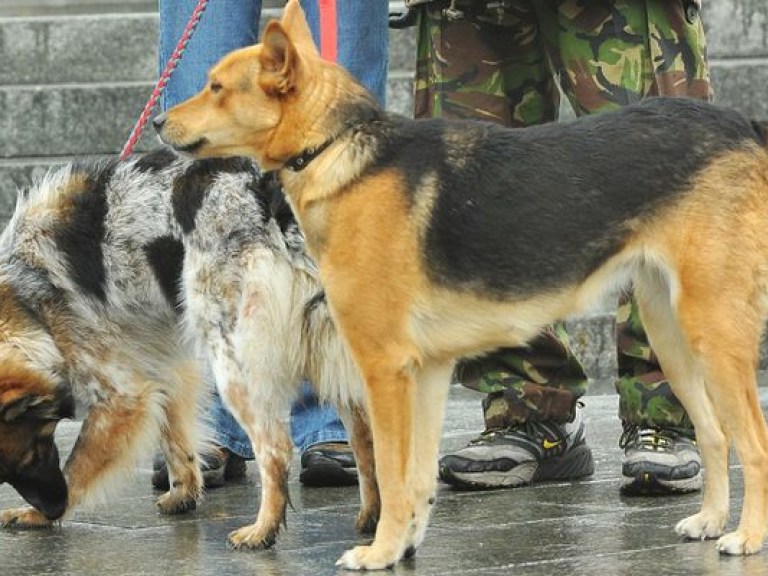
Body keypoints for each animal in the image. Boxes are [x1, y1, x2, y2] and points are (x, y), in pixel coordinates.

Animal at [0, 150, 376, 548]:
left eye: (33, 454)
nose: (53, 508)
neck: (24, 298)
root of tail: (270, 194)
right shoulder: (166, 364)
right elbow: (176, 435)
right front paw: (184, 492)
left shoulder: (122, 396)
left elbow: (78, 463)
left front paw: (36, 516)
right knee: (365, 439)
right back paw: (371, 519)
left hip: (236, 362)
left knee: (276, 449)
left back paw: (263, 530)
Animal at [156, 0, 768, 568]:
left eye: (216, 88)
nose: (159, 122)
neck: (338, 148)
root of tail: (743, 127)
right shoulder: (426, 373)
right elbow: (416, 480)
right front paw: (403, 546)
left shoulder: (384, 370)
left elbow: (390, 474)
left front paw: (378, 552)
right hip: (674, 338)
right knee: (715, 433)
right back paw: (711, 520)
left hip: (713, 334)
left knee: (753, 441)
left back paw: (746, 536)